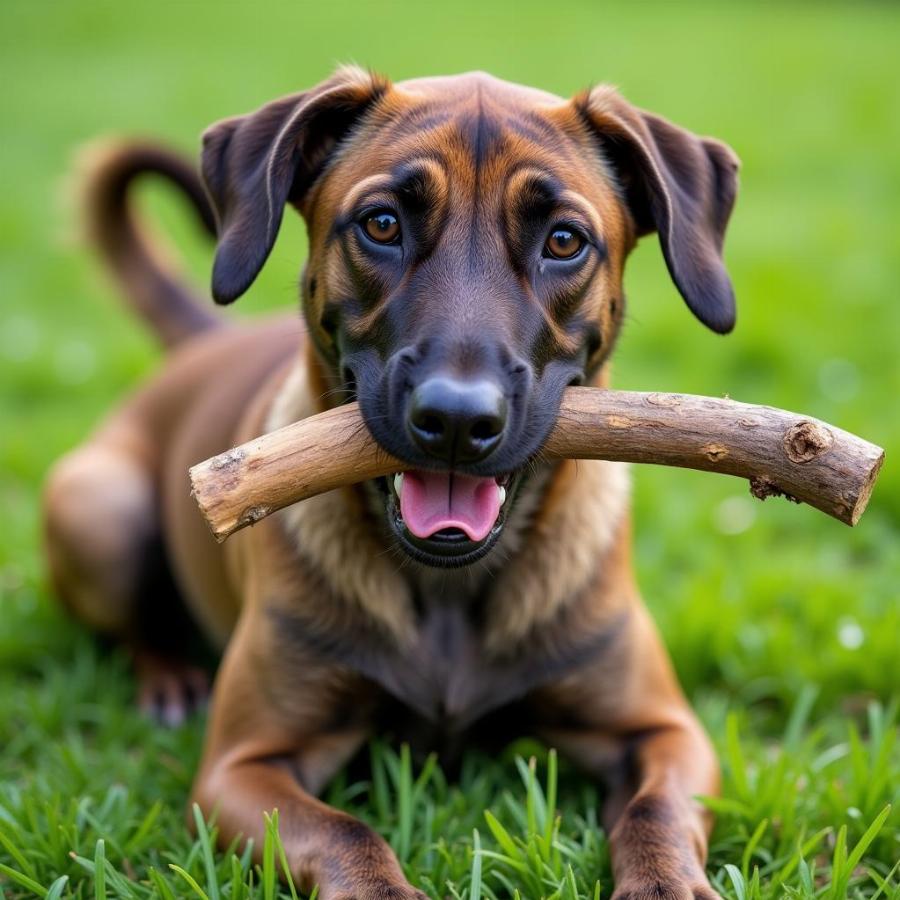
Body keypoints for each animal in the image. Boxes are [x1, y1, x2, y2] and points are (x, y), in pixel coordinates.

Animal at [44, 67, 740, 896]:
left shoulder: (665, 732)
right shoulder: (241, 769)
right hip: (100, 508)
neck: (447, 590)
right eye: (381, 224)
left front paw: (666, 879)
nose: (456, 420)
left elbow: (654, 810)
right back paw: (170, 683)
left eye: (564, 241)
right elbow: (346, 834)